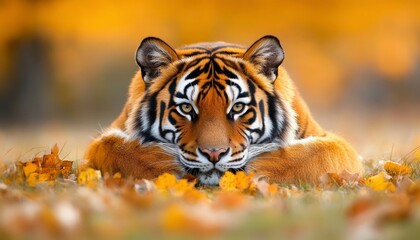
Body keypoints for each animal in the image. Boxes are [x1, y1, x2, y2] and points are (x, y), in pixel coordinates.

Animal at [84, 35, 360, 186]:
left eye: (237, 107)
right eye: (186, 108)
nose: (213, 154)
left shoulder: (331, 142)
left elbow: (322, 154)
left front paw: (264, 166)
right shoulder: (102, 141)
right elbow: (111, 147)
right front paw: (161, 165)